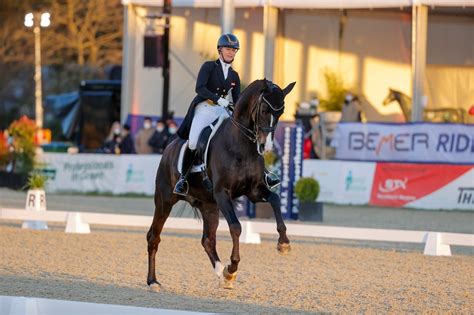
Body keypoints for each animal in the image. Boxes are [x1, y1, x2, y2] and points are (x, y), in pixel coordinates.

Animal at [148, 78, 294, 288]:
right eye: (265, 109)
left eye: (281, 112)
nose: (265, 146)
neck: (240, 146)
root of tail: (168, 147)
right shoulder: (222, 193)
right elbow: (236, 227)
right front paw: (233, 266)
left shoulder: (254, 191)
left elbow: (274, 199)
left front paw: (283, 243)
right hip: (165, 200)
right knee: (154, 236)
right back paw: (153, 281)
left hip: (209, 206)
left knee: (208, 240)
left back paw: (222, 273)